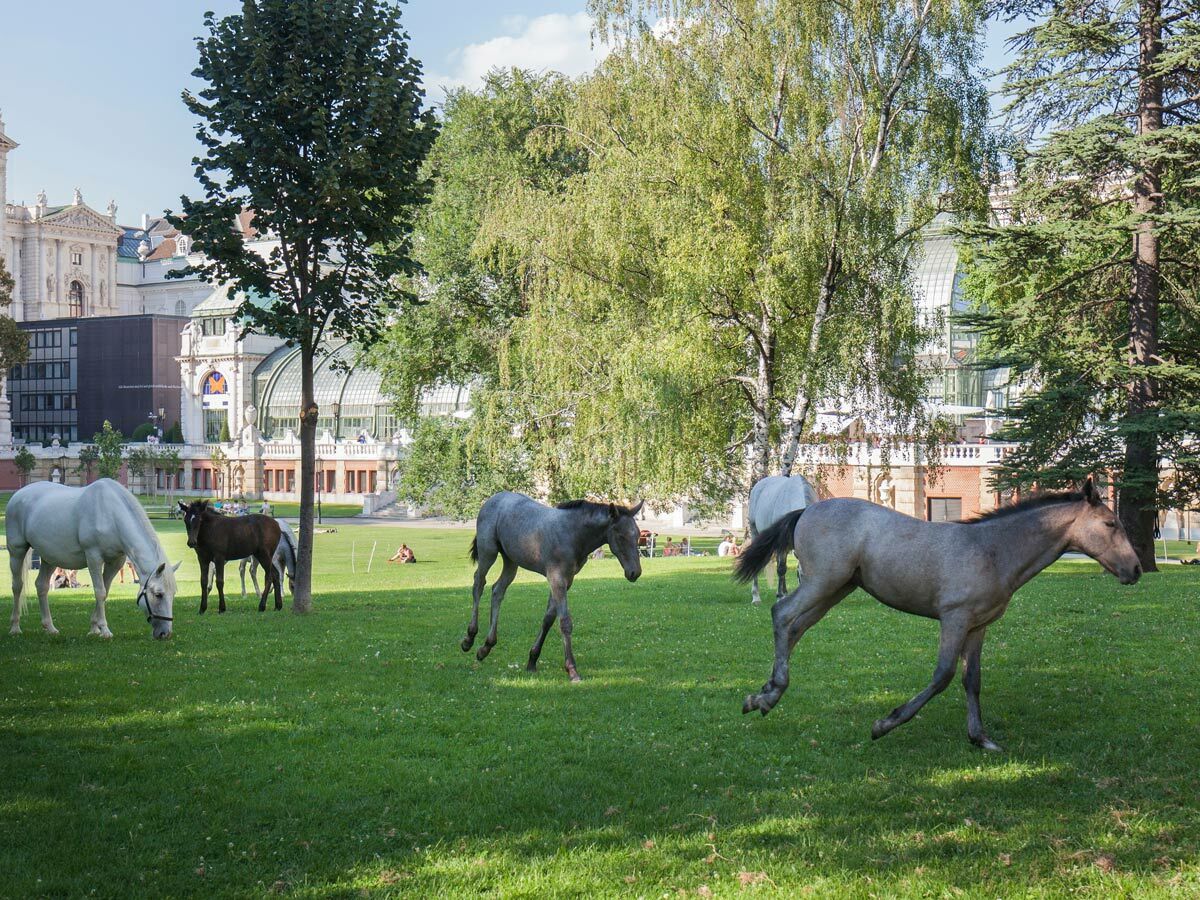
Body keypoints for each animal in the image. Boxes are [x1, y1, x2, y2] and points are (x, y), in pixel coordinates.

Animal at [7, 479, 180, 639]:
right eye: (158, 594)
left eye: (173, 594)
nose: (165, 633)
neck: (111, 515)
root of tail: (18, 495)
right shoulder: (93, 557)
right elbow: (100, 592)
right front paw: (104, 630)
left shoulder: (115, 562)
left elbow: (105, 591)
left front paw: (94, 628)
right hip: (17, 551)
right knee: (17, 586)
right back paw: (15, 627)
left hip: (49, 557)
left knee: (42, 586)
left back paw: (49, 627)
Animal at [461, 492, 644, 681]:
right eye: (620, 536)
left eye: (638, 534)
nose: (634, 572)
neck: (573, 535)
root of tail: (494, 498)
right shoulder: (557, 578)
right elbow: (564, 622)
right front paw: (572, 669)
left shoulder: (567, 580)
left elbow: (548, 618)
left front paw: (532, 660)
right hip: (488, 551)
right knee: (478, 584)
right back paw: (469, 638)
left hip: (511, 561)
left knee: (497, 590)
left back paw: (486, 647)